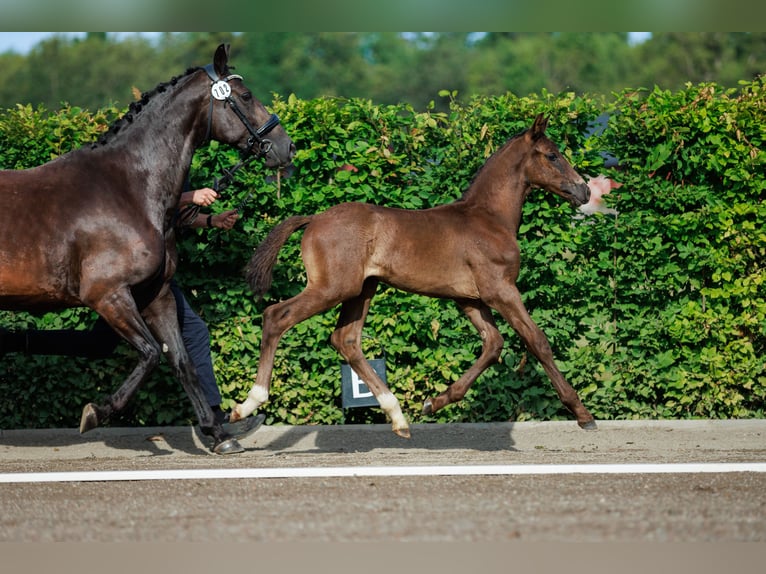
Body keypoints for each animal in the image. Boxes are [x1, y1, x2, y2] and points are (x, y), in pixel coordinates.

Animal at [0, 44, 296, 454]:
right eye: (247, 96)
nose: (286, 147)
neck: (128, 188)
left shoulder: (157, 295)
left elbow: (183, 361)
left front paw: (218, 434)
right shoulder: (108, 296)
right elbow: (152, 354)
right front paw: (95, 412)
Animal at [234, 115, 600, 438]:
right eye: (552, 155)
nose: (583, 192)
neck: (489, 218)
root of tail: (313, 219)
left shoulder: (468, 299)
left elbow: (493, 344)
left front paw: (433, 403)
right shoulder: (501, 291)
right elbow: (537, 341)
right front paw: (583, 414)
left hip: (362, 290)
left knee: (346, 340)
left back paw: (397, 416)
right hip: (333, 288)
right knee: (276, 316)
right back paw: (248, 404)